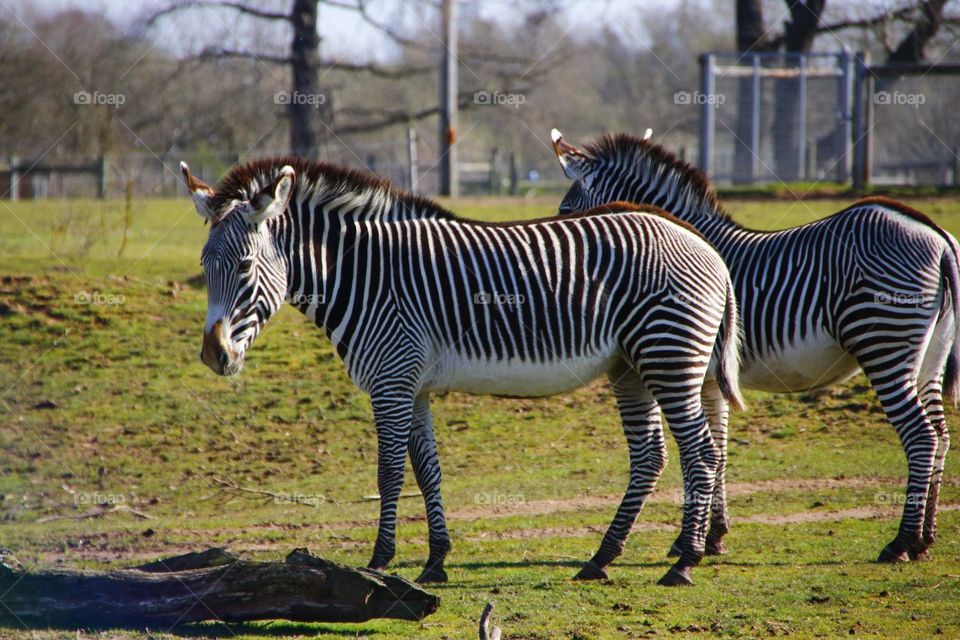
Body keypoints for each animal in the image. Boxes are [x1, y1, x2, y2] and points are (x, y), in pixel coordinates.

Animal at [181, 156, 744, 586]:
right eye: (205, 266)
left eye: (245, 268)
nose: (213, 356)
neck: (363, 276)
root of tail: (706, 245)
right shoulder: (413, 386)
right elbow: (427, 470)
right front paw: (435, 561)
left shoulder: (390, 382)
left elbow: (389, 473)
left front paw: (380, 561)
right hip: (629, 365)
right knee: (652, 455)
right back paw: (601, 559)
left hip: (669, 356)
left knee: (702, 452)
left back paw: (685, 560)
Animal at [550, 128, 958, 564]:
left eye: (566, 209)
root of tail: (936, 236)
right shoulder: (710, 379)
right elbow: (719, 447)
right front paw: (712, 536)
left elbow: (703, 450)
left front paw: (692, 540)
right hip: (929, 355)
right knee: (940, 435)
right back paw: (925, 539)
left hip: (884, 343)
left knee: (921, 436)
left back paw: (901, 542)